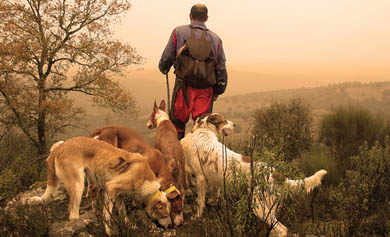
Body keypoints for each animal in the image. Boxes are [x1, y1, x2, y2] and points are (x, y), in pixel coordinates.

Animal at [27, 137, 171, 235]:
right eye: (165, 215)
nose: (170, 226)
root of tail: (58, 148)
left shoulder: (119, 195)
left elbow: (123, 213)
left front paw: (130, 226)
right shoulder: (110, 188)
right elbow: (107, 216)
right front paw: (108, 231)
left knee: (70, 210)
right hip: (78, 185)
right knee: (73, 215)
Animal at [181, 113, 328, 237]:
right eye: (224, 120)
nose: (234, 124)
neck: (204, 131)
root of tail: (275, 173)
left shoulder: (200, 178)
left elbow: (199, 201)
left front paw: (197, 215)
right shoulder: (213, 178)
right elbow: (213, 194)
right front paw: (212, 202)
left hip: (259, 205)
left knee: (282, 229)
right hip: (269, 208)